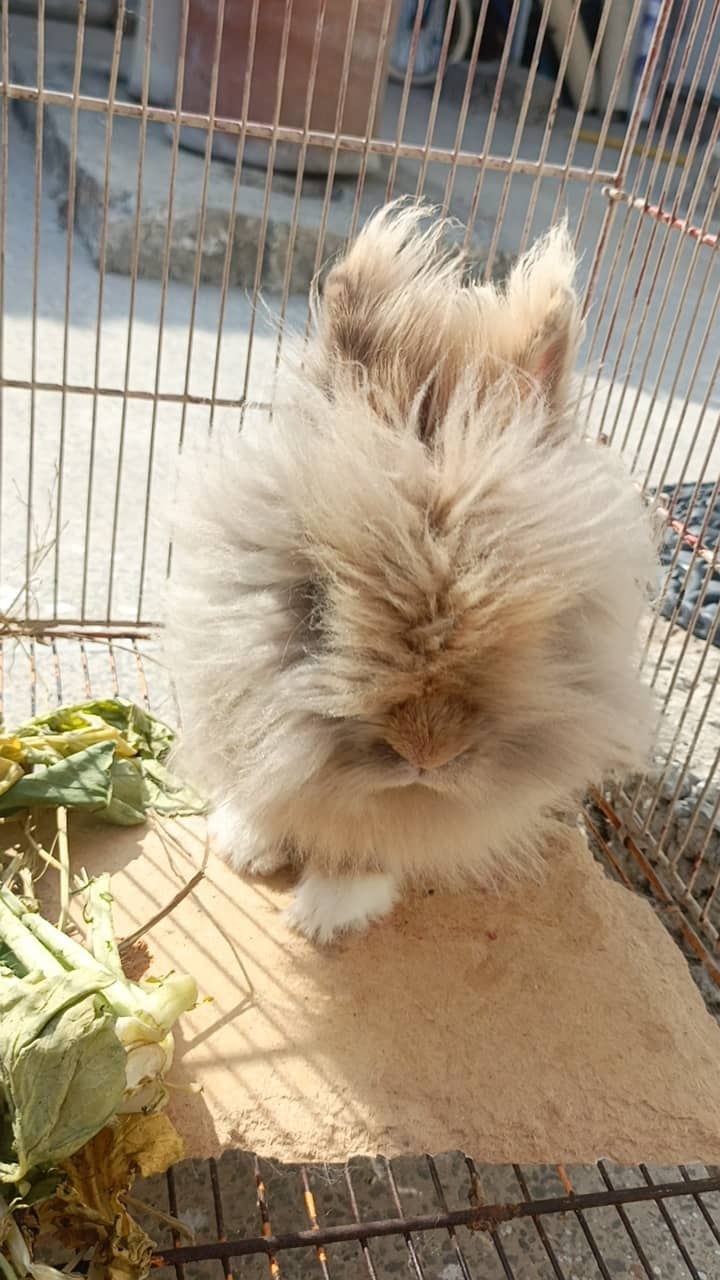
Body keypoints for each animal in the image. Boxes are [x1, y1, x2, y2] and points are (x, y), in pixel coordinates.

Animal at [166, 200, 655, 944]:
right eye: (318, 604)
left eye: (541, 629)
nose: (427, 754)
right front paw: (243, 845)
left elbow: (383, 843)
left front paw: (325, 914)